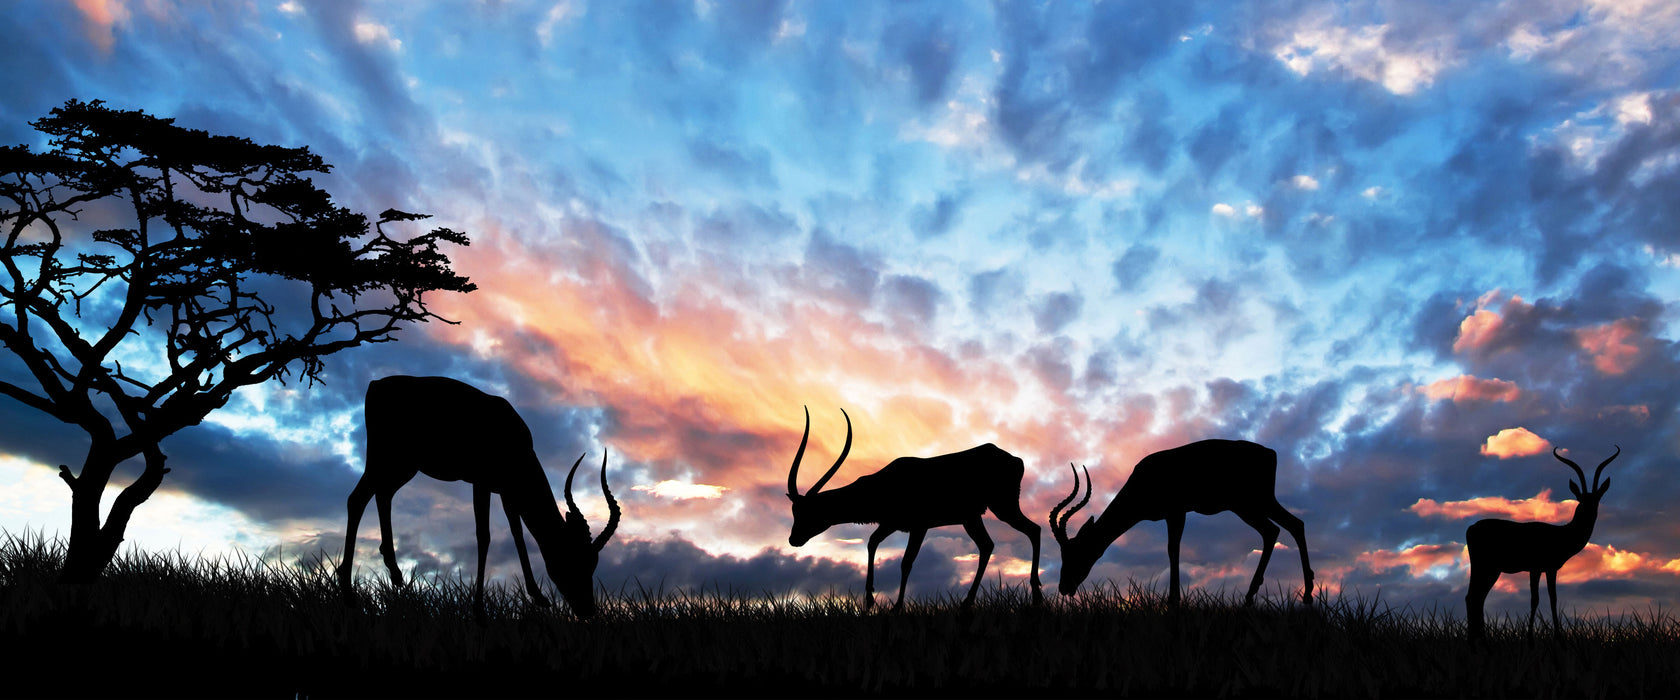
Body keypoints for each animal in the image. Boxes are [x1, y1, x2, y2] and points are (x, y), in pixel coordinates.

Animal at [337, 376, 621, 617]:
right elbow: (484, 536)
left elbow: (517, 534)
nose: (587, 610)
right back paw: (348, 593)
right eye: (572, 560)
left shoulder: (507, 491)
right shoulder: (481, 482)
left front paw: (538, 596)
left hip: (402, 465)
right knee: (357, 498)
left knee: (382, 496)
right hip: (385, 458)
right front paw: (479, 609)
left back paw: (394, 574)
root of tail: (376, 385)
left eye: (593, 564)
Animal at [782, 406, 1041, 607]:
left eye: (809, 511)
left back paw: (1032, 594)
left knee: (1032, 530)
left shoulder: (919, 526)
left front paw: (897, 607)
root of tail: (1016, 460)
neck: (883, 485)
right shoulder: (891, 523)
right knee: (990, 544)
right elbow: (872, 542)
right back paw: (970, 602)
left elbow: (906, 562)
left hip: (1001, 507)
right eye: (794, 511)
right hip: (972, 517)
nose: (793, 539)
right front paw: (869, 599)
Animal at [1048, 439, 1310, 604]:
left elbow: (1173, 549)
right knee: (1293, 525)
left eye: (1074, 553)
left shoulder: (1176, 512)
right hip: (1260, 503)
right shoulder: (1173, 514)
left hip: (1248, 505)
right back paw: (1299, 595)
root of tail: (1270, 453)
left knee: (1274, 530)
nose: (1064, 587)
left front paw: (1173, 601)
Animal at [1471, 446, 1612, 637]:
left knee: (1474, 597)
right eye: (1581, 500)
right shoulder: (1541, 568)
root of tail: (1471, 528)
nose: (1589, 514)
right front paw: (1539, 638)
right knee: (1476, 597)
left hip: (1483, 568)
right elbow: (1540, 599)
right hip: (1489, 568)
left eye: (1597, 500)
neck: (1561, 534)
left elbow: (1550, 599)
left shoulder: (1544, 569)